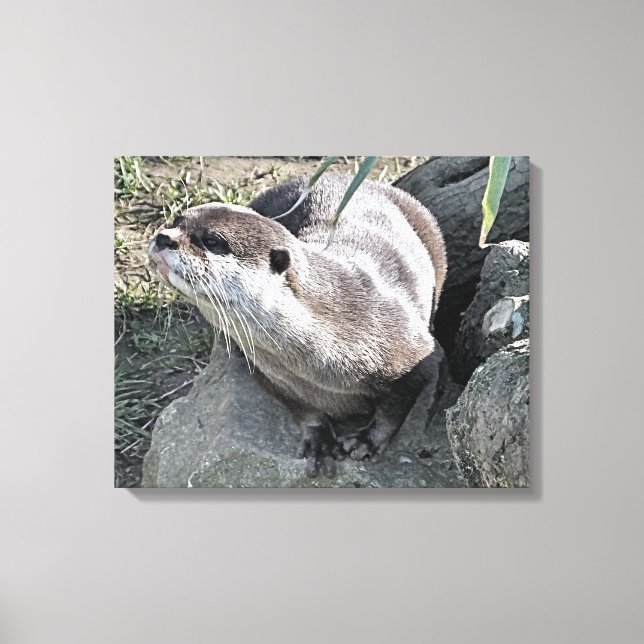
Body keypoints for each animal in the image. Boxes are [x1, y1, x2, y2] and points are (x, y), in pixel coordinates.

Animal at [147, 174, 447, 477]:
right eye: (177, 220)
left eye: (211, 240)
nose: (164, 237)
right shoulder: (272, 376)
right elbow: (301, 408)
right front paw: (318, 439)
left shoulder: (414, 353)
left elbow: (397, 406)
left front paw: (367, 441)